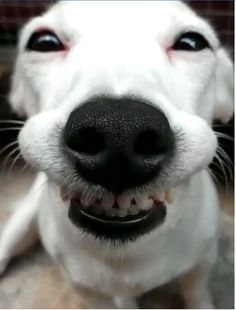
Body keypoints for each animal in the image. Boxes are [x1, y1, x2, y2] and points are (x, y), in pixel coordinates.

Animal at [0, 1, 233, 308]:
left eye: (192, 42)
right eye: (44, 42)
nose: (118, 131)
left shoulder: (202, 261)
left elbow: (197, 294)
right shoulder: (83, 286)